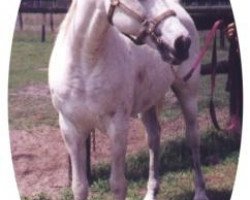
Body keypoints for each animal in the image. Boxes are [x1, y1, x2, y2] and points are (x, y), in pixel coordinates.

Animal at [47, 0, 208, 200]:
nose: (182, 41)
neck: (85, 64)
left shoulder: (118, 127)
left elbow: (118, 185)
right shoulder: (71, 129)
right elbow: (79, 186)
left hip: (187, 93)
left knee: (193, 138)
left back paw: (200, 192)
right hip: (147, 105)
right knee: (154, 138)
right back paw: (151, 192)